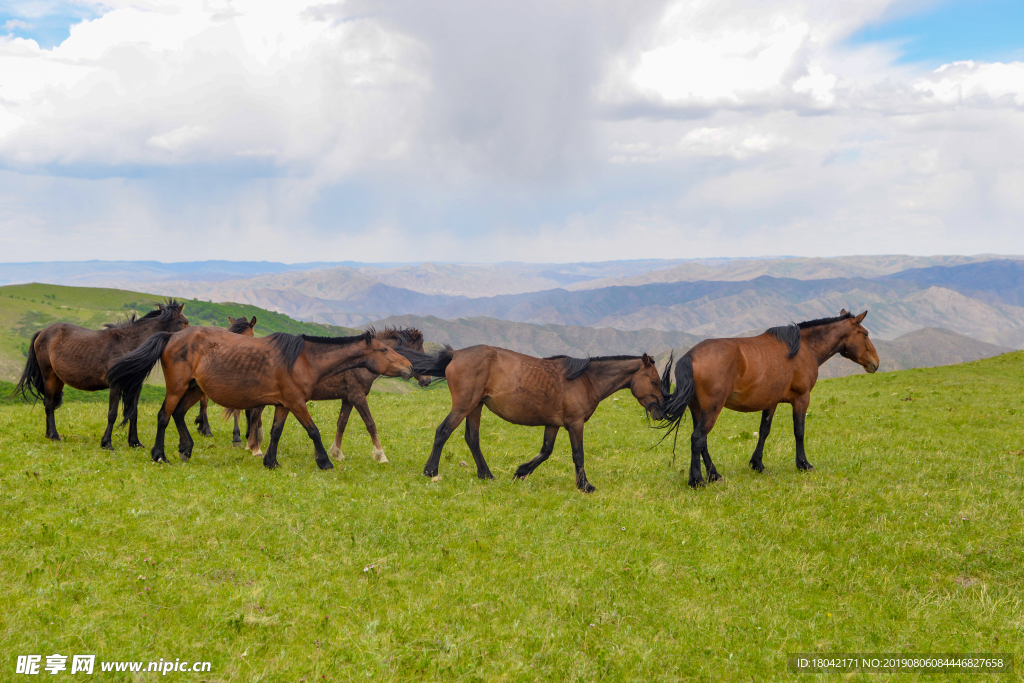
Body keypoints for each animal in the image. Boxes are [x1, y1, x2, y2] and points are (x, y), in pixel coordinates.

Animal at [14, 301, 190, 448]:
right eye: (185, 322)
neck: (129, 345)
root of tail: (43, 332)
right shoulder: (115, 385)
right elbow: (112, 414)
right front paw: (107, 443)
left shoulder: (135, 386)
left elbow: (133, 413)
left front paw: (135, 442)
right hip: (48, 376)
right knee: (49, 405)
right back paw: (54, 435)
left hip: (58, 379)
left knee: (47, 403)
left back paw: (48, 434)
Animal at [110, 327, 413, 471]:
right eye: (385, 350)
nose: (410, 367)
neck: (303, 359)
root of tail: (173, 335)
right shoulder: (297, 403)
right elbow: (314, 431)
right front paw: (325, 462)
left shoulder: (283, 404)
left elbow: (276, 432)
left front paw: (270, 461)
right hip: (177, 387)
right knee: (163, 416)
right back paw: (159, 455)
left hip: (195, 389)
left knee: (179, 414)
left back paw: (186, 448)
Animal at [243, 325, 432, 462]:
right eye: (418, 351)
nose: (427, 380)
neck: (359, 363)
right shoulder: (358, 397)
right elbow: (370, 424)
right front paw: (380, 455)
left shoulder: (348, 399)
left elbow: (342, 423)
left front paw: (337, 452)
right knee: (254, 415)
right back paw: (254, 447)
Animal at [403, 348, 667, 491]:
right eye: (655, 380)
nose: (661, 412)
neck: (585, 380)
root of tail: (456, 354)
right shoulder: (575, 424)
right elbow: (578, 455)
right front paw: (585, 486)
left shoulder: (553, 424)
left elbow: (546, 451)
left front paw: (521, 472)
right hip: (464, 405)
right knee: (443, 431)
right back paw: (431, 471)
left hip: (475, 407)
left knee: (472, 438)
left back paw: (486, 474)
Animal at [659, 313, 884, 489]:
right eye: (865, 334)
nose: (876, 363)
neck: (804, 349)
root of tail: (690, 356)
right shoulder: (802, 398)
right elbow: (799, 431)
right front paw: (803, 464)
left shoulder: (771, 402)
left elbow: (764, 431)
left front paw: (757, 464)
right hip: (712, 409)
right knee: (698, 439)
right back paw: (698, 481)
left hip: (698, 410)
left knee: (701, 441)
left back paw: (714, 475)